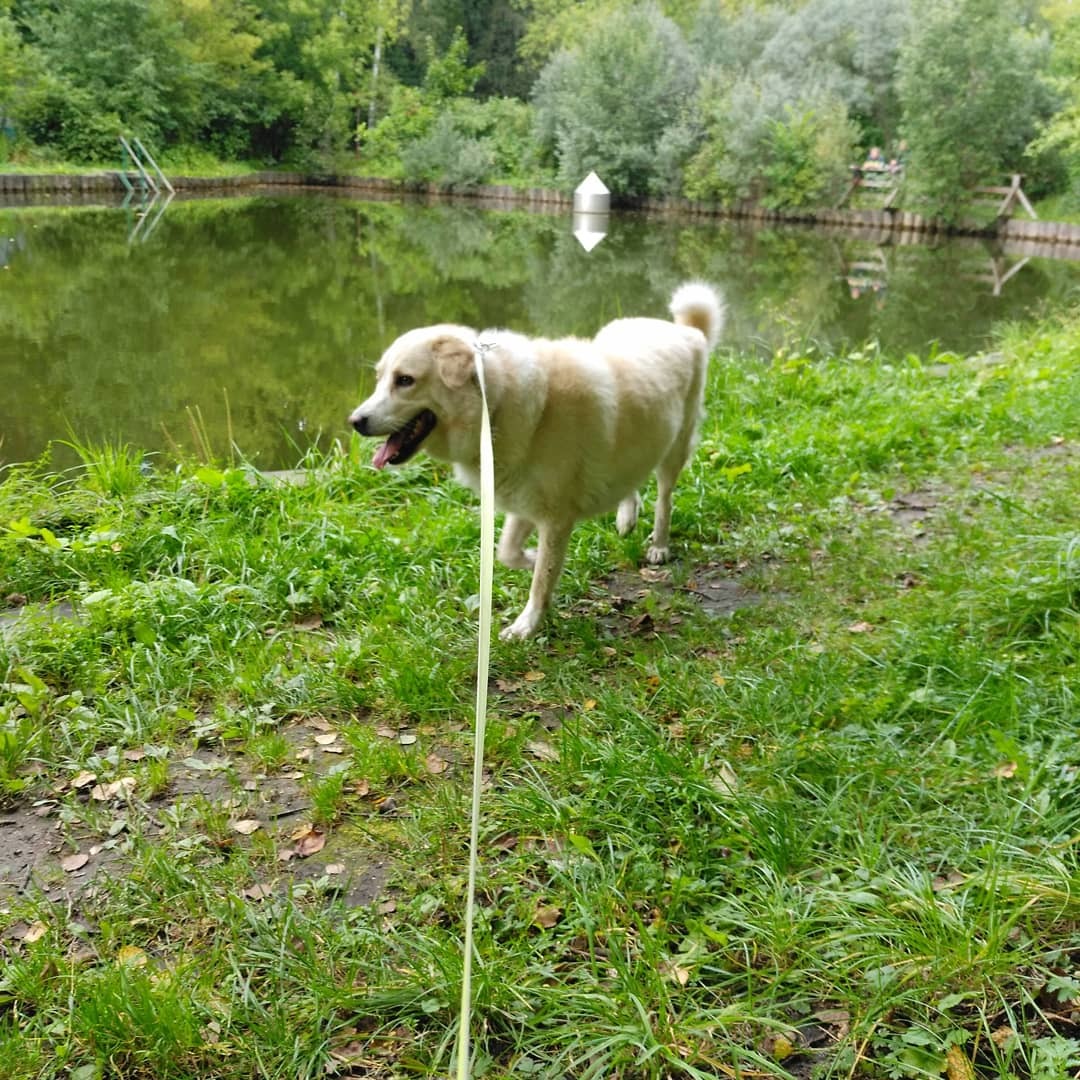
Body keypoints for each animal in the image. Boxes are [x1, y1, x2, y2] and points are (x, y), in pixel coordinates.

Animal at [352, 287, 725, 635]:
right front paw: (530, 560)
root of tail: (685, 330)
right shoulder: (524, 501)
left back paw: (659, 546)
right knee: (630, 482)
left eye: (405, 380)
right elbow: (507, 551)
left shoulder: (556, 518)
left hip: (675, 451)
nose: (355, 422)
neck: (495, 403)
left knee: (664, 499)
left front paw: (527, 625)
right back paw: (626, 518)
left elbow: (542, 580)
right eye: (380, 378)